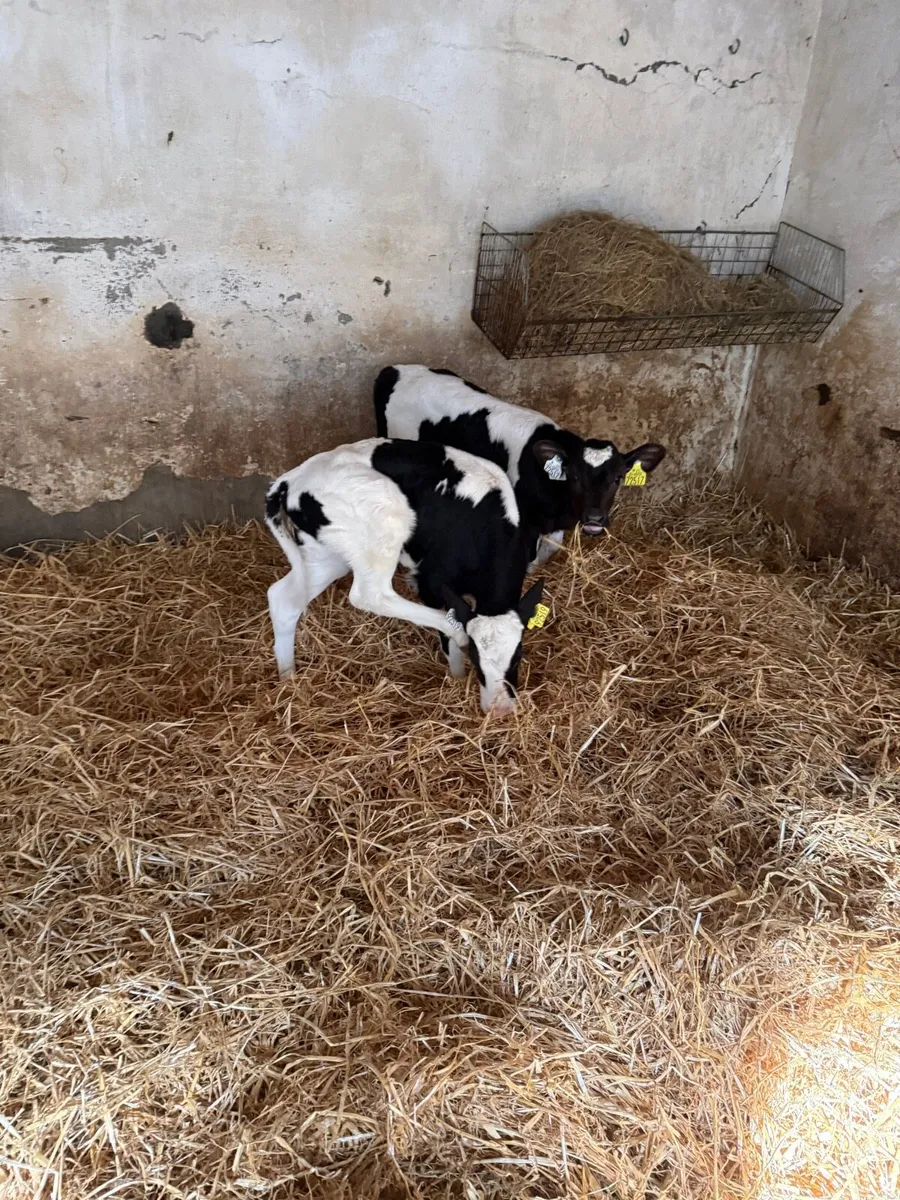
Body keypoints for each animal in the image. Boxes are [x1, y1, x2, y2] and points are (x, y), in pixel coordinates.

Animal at [264, 438, 545, 716]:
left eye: (518, 656)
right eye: (475, 657)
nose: (501, 710)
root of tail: (288, 481)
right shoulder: (431, 582)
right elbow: (449, 641)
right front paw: (457, 678)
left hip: (326, 555)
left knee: (283, 599)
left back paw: (288, 678)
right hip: (386, 518)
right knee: (370, 595)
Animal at [374, 364, 666, 568]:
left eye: (618, 478)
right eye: (574, 477)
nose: (594, 519)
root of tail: (395, 370)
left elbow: (547, 552)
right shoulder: (524, 522)